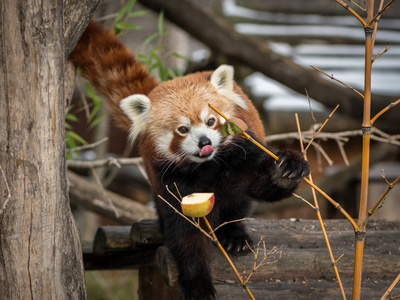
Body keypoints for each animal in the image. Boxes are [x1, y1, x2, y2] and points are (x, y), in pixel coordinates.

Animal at [70, 19, 310, 298]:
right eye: (183, 129)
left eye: (211, 120)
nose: (204, 142)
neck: (207, 167)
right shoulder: (170, 179)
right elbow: (185, 235)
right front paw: (198, 286)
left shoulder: (242, 153)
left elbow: (262, 183)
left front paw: (287, 169)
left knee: (238, 202)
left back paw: (234, 234)